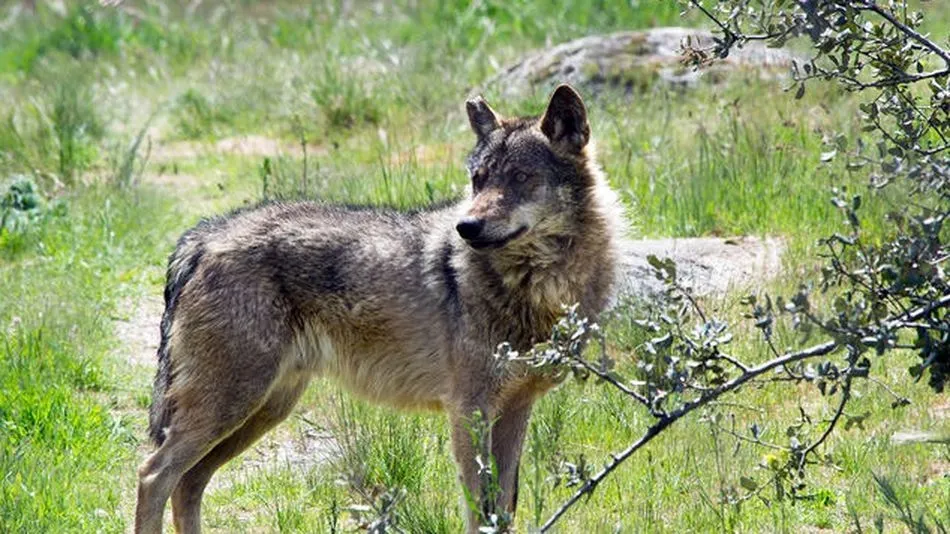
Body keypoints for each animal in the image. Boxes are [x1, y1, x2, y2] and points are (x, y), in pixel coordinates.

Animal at [134, 84, 623, 533]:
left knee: (188, 481)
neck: (534, 288)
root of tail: (204, 236)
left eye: (521, 177)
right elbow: (477, 511)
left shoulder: (517, 408)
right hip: (234, 403)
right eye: (479, 180)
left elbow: (501, 511)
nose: (466, 227)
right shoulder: (469, 410)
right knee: (154, 475)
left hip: (264, 408)